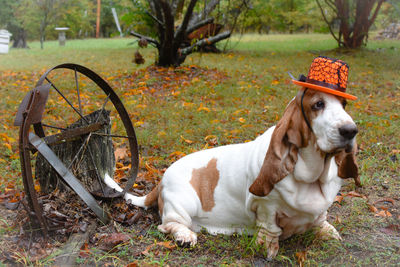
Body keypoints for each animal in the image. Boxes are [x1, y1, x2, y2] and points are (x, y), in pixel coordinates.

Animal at [104, 57, 360, 260]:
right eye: (318, 104)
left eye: (344, 104)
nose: (351, 131)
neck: (312, 174)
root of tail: (161, 182)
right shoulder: (267, 207)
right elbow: (270, 229)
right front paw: (267, 249)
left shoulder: (320, 208)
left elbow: (321, 218)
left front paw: (328, 232)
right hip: (183, 204)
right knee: (168, 225)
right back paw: (185, 236)